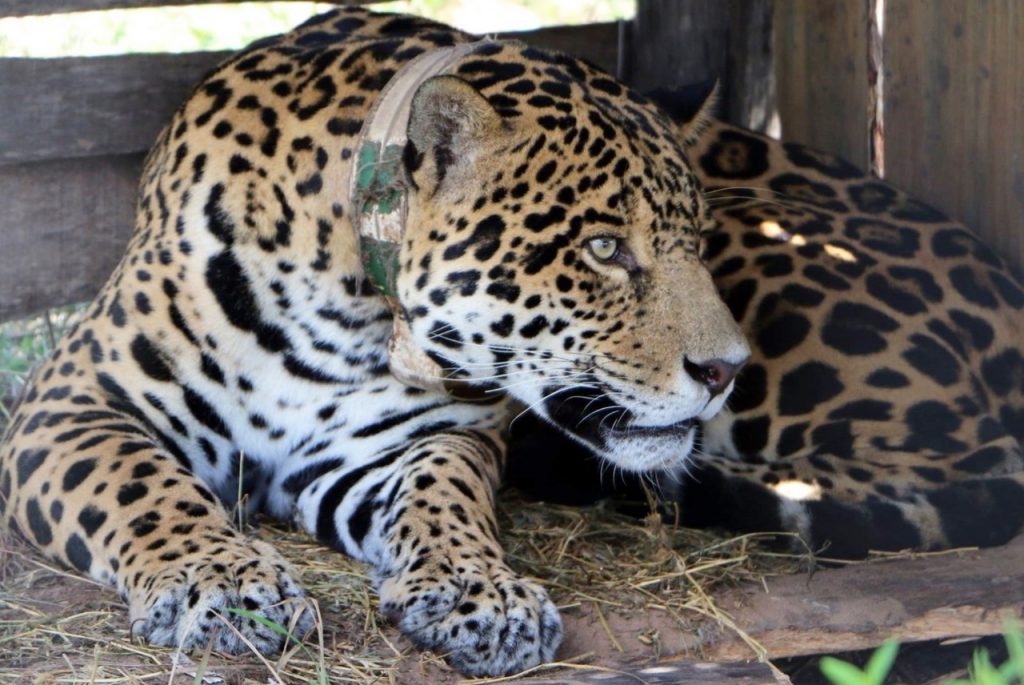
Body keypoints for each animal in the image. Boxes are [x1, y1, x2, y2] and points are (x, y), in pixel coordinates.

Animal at [3, 5, 1024, 678]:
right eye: (604, 248)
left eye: (690, 240)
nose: (724, 369)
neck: (353, 306)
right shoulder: (72, 402)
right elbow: (144, 485)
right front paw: (223, 581)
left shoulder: (412, 440)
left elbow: (444, 496)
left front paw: (477, 591)